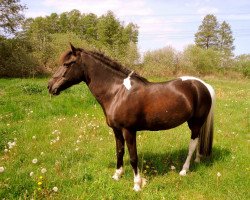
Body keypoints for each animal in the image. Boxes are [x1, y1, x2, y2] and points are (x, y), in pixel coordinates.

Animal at [47, 44, 215, 192]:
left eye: (68, 63)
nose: (50, 86)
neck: (117, 92)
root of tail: (203, 85)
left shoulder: (129, 131)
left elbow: (134, 157)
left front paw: (137, 185)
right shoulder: (116, 130)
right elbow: (119, 151)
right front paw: (117, 176)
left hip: (195, 123)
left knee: (192, 145)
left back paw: (184, 170)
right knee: (197, 142)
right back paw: (197, 160)